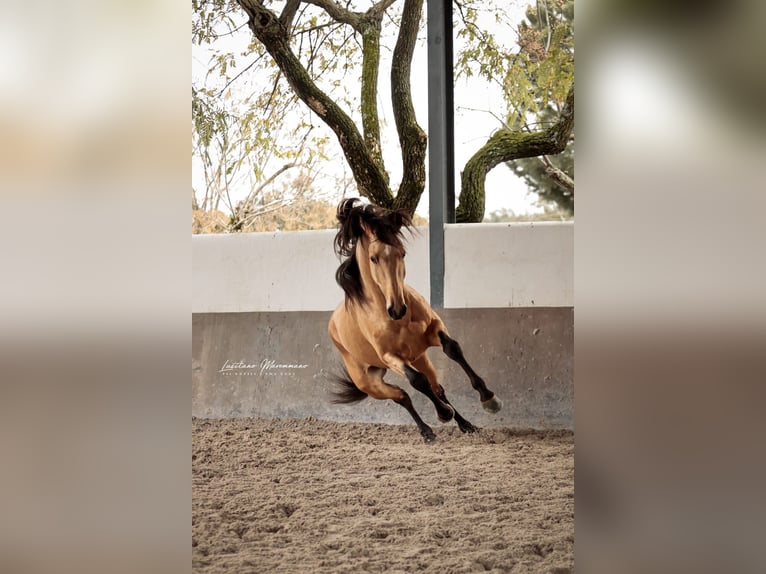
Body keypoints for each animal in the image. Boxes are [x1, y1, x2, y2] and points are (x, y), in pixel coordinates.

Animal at [327, 198, 502, 442]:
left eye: (402, 253)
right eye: (373, 258)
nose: (397, 309)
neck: (397, 320)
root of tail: (332, 325)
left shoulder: (434, 329)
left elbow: (453, 349)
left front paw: (489, 399)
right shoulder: (391, 356)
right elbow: (416, 381)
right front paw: (443, 413)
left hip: (419, 357)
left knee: (436, 388)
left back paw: (465, 424)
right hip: (370, 383)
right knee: (403, 396)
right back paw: (427, 431)